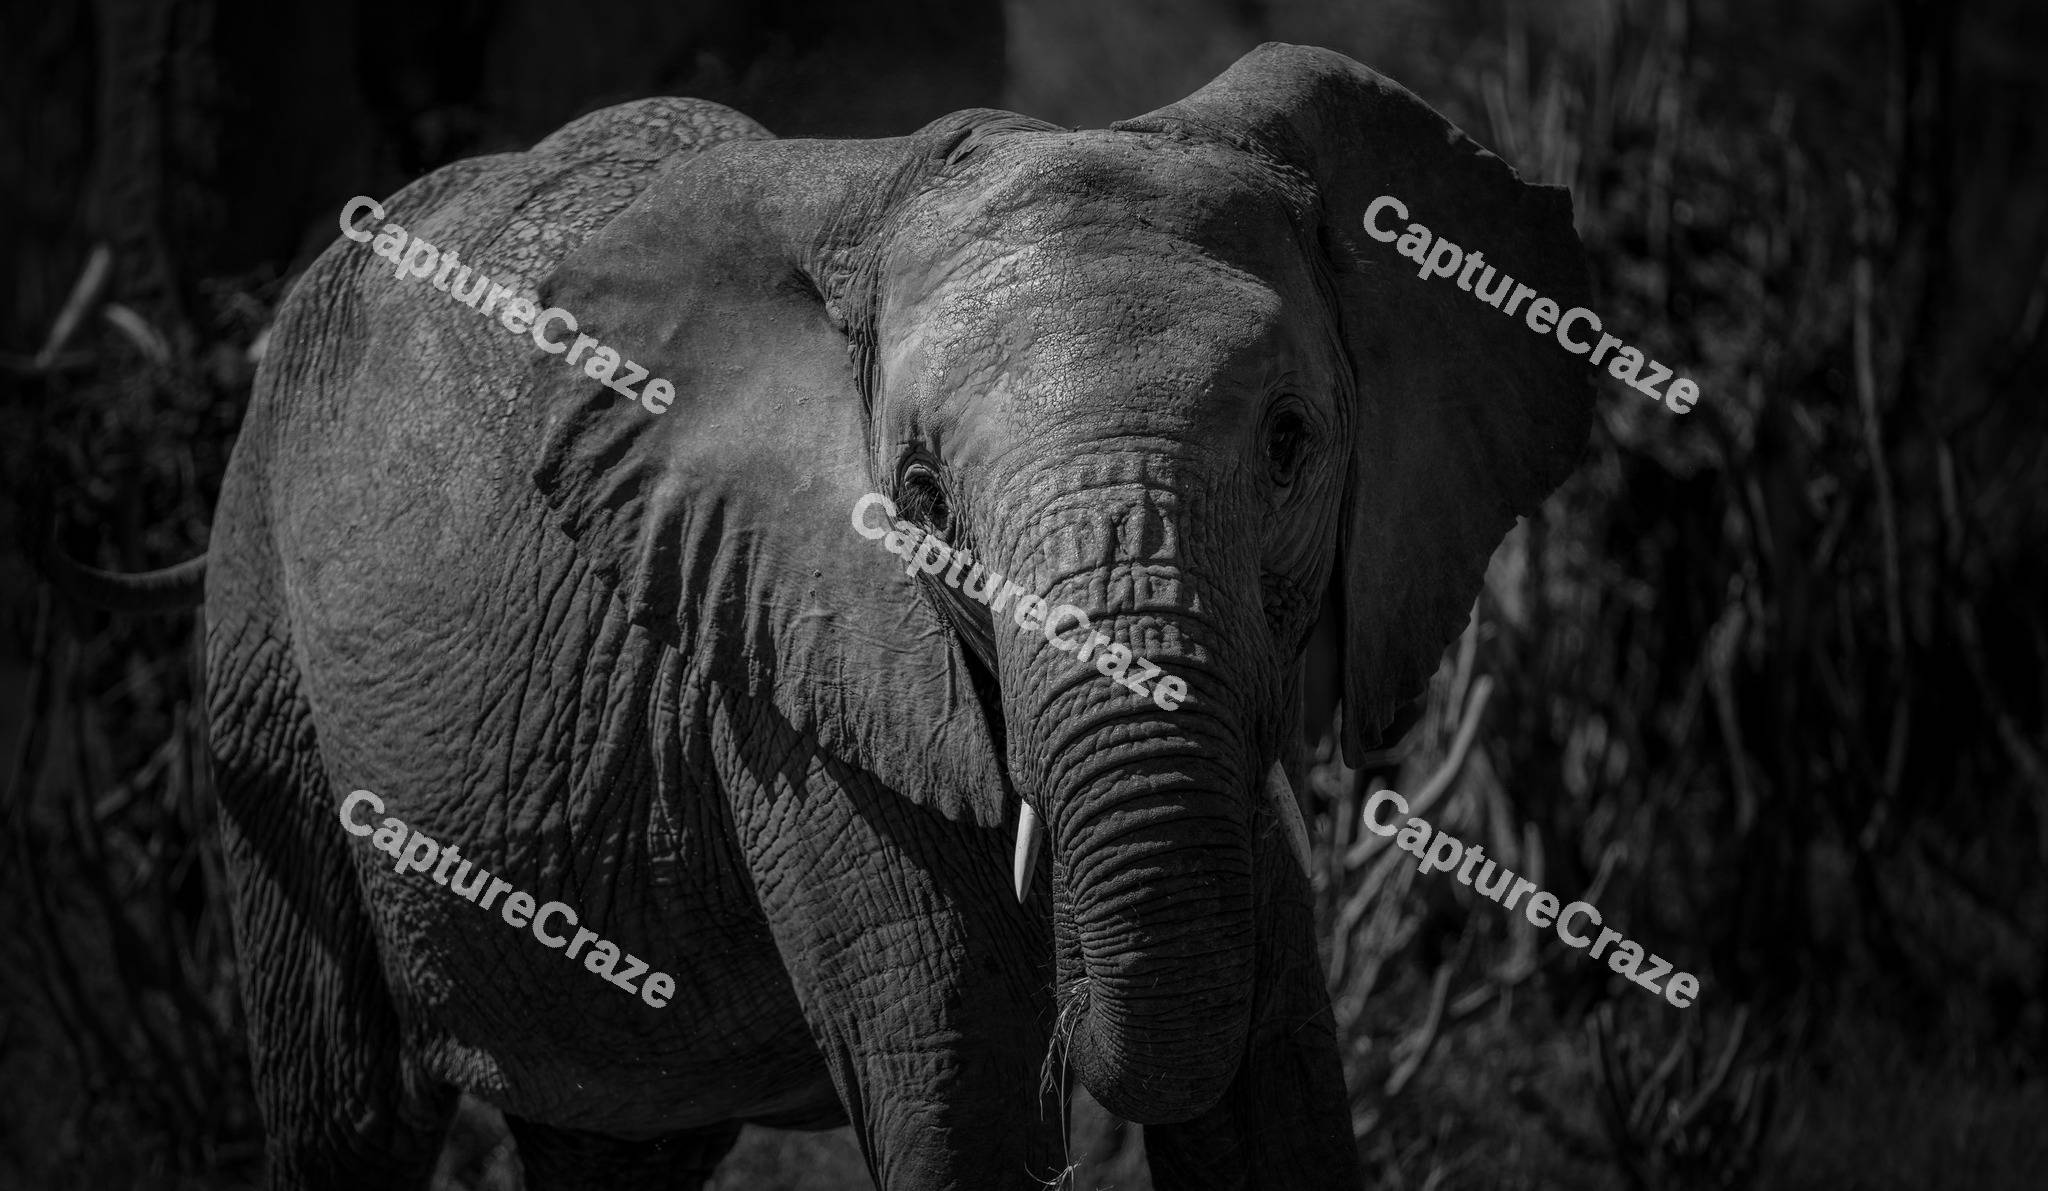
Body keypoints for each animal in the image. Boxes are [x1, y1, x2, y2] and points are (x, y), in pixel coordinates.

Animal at [44, 40, 1591, 1191]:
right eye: (917, 491)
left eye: (1287, 444)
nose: (1077, 1050)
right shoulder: (789, 686)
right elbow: (951, 1089)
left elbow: (1279, 1086)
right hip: (259, 648)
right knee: (345, 1114)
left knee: (617, 1143)